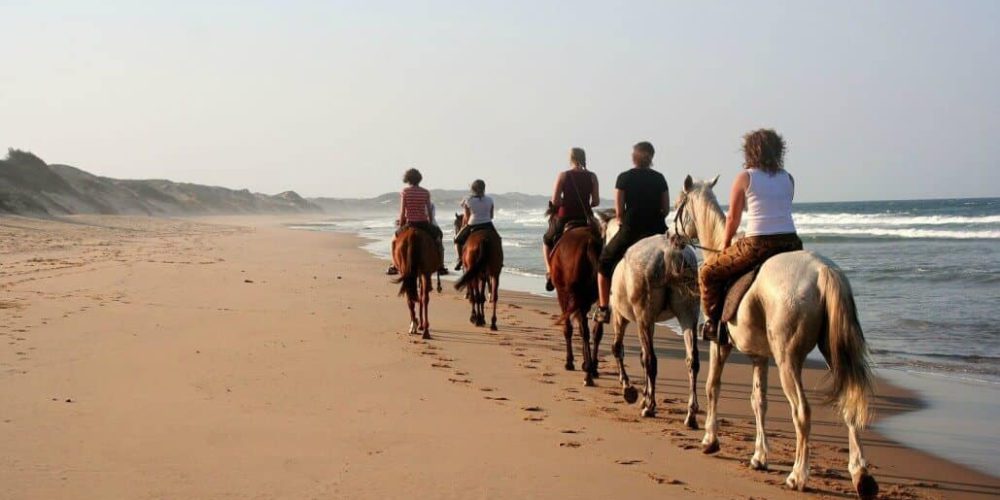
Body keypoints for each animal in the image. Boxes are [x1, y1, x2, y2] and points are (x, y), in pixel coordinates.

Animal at [548, 207, 600, 386]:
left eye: (551, 221)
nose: (547, 236)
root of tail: (591, 242)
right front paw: (586, 363)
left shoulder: (563, 295)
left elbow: (568, 328)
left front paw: (570, 361)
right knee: (596, 330)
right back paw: (592, 368)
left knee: (585, 330)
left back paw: (588, 375)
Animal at [596, 213, 700, 428]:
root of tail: (670, 253)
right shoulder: (650, 322)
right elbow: (641, 357)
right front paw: (644, 395)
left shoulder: (622, 317)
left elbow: (618, 348)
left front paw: (630, 390)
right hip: (688, 313)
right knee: (692, 360)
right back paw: (691, 414)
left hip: (643, 315)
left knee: (652, 360)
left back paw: (650, 408)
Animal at [676, 175, 880, 496]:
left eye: (678, 204)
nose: (671, 237)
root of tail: (822, 271)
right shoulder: (759, 357)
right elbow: (758, 401)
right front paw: (760, 457)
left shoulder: (720, 346)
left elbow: (712, 387)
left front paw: (710, 440)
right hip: (833, 354)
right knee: (849, 401)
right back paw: (861, 475)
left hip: (787, 360)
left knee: (802, 412)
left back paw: (798, 475)